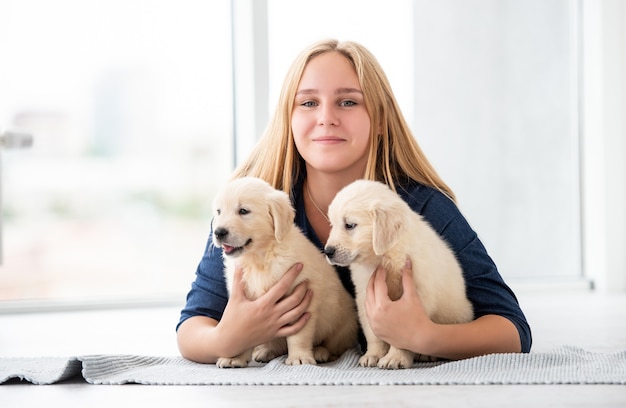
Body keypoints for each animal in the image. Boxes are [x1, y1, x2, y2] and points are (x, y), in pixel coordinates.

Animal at [211, 177, 354, 368]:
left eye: (243, 211)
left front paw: (299, 357)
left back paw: (320, 352)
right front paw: (235, 358)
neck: (260, 258)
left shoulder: (302, 297)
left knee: (334, 346)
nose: (218, 232)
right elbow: (239, 331)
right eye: (219, 211)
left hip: (342, 324)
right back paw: (266, 351)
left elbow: (298, 335)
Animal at [324, 180, 470, 368]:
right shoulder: (365, 295)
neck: (384, 257)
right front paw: (373, 355)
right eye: (332, 225)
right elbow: (373, 333)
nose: (328, 251)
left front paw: (395, 358)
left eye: (349, 225)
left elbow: (402, 334)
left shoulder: (415, 298)